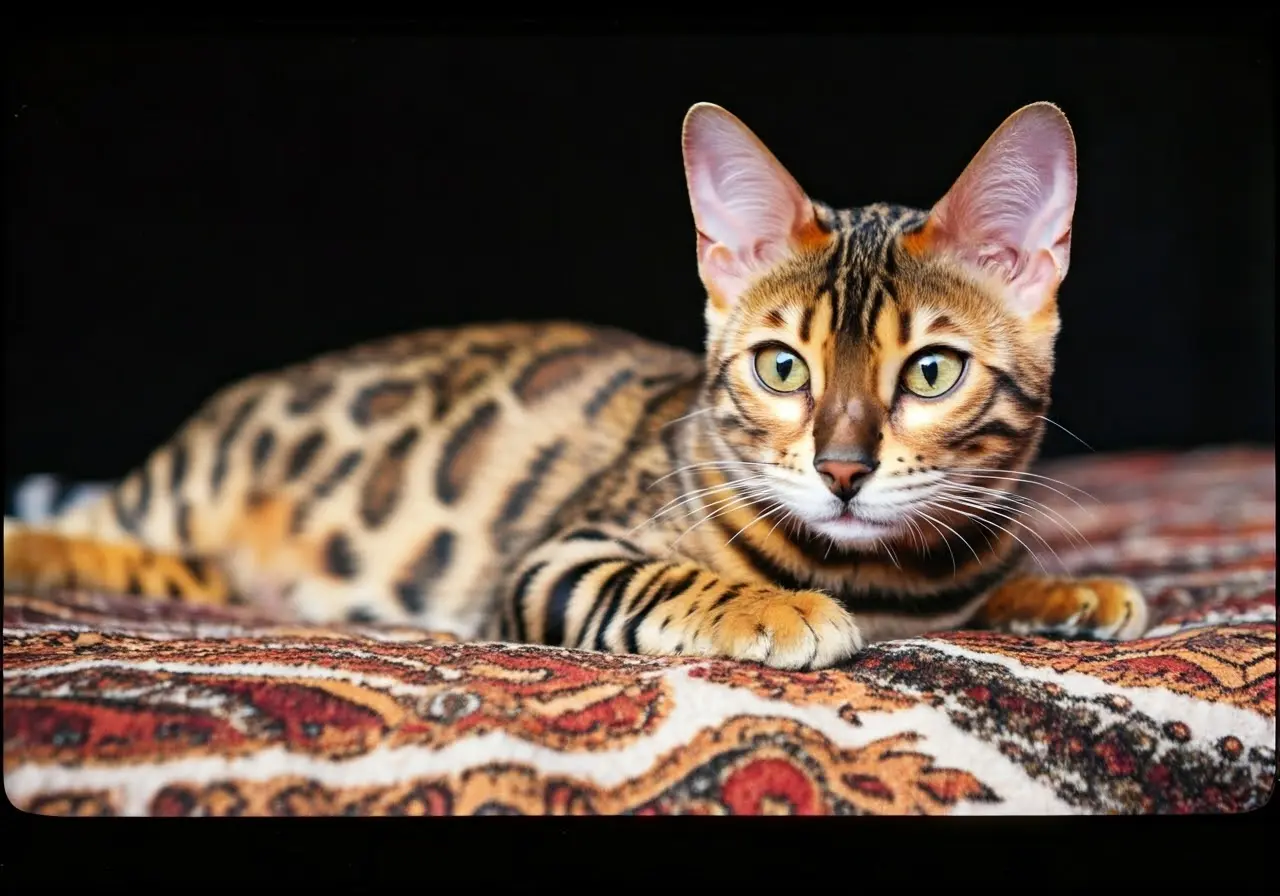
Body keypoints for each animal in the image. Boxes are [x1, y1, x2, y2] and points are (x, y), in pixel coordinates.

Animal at [2, 101, 1152, 670]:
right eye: (782, 366)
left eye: (930, 371)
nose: (840, 470)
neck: (882, 582)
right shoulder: (557, 557)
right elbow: (665, 581)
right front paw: (779, 607)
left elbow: (986, 591)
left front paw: (1060, 589)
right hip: (200, 480)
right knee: (92, 522)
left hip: (194, 564)